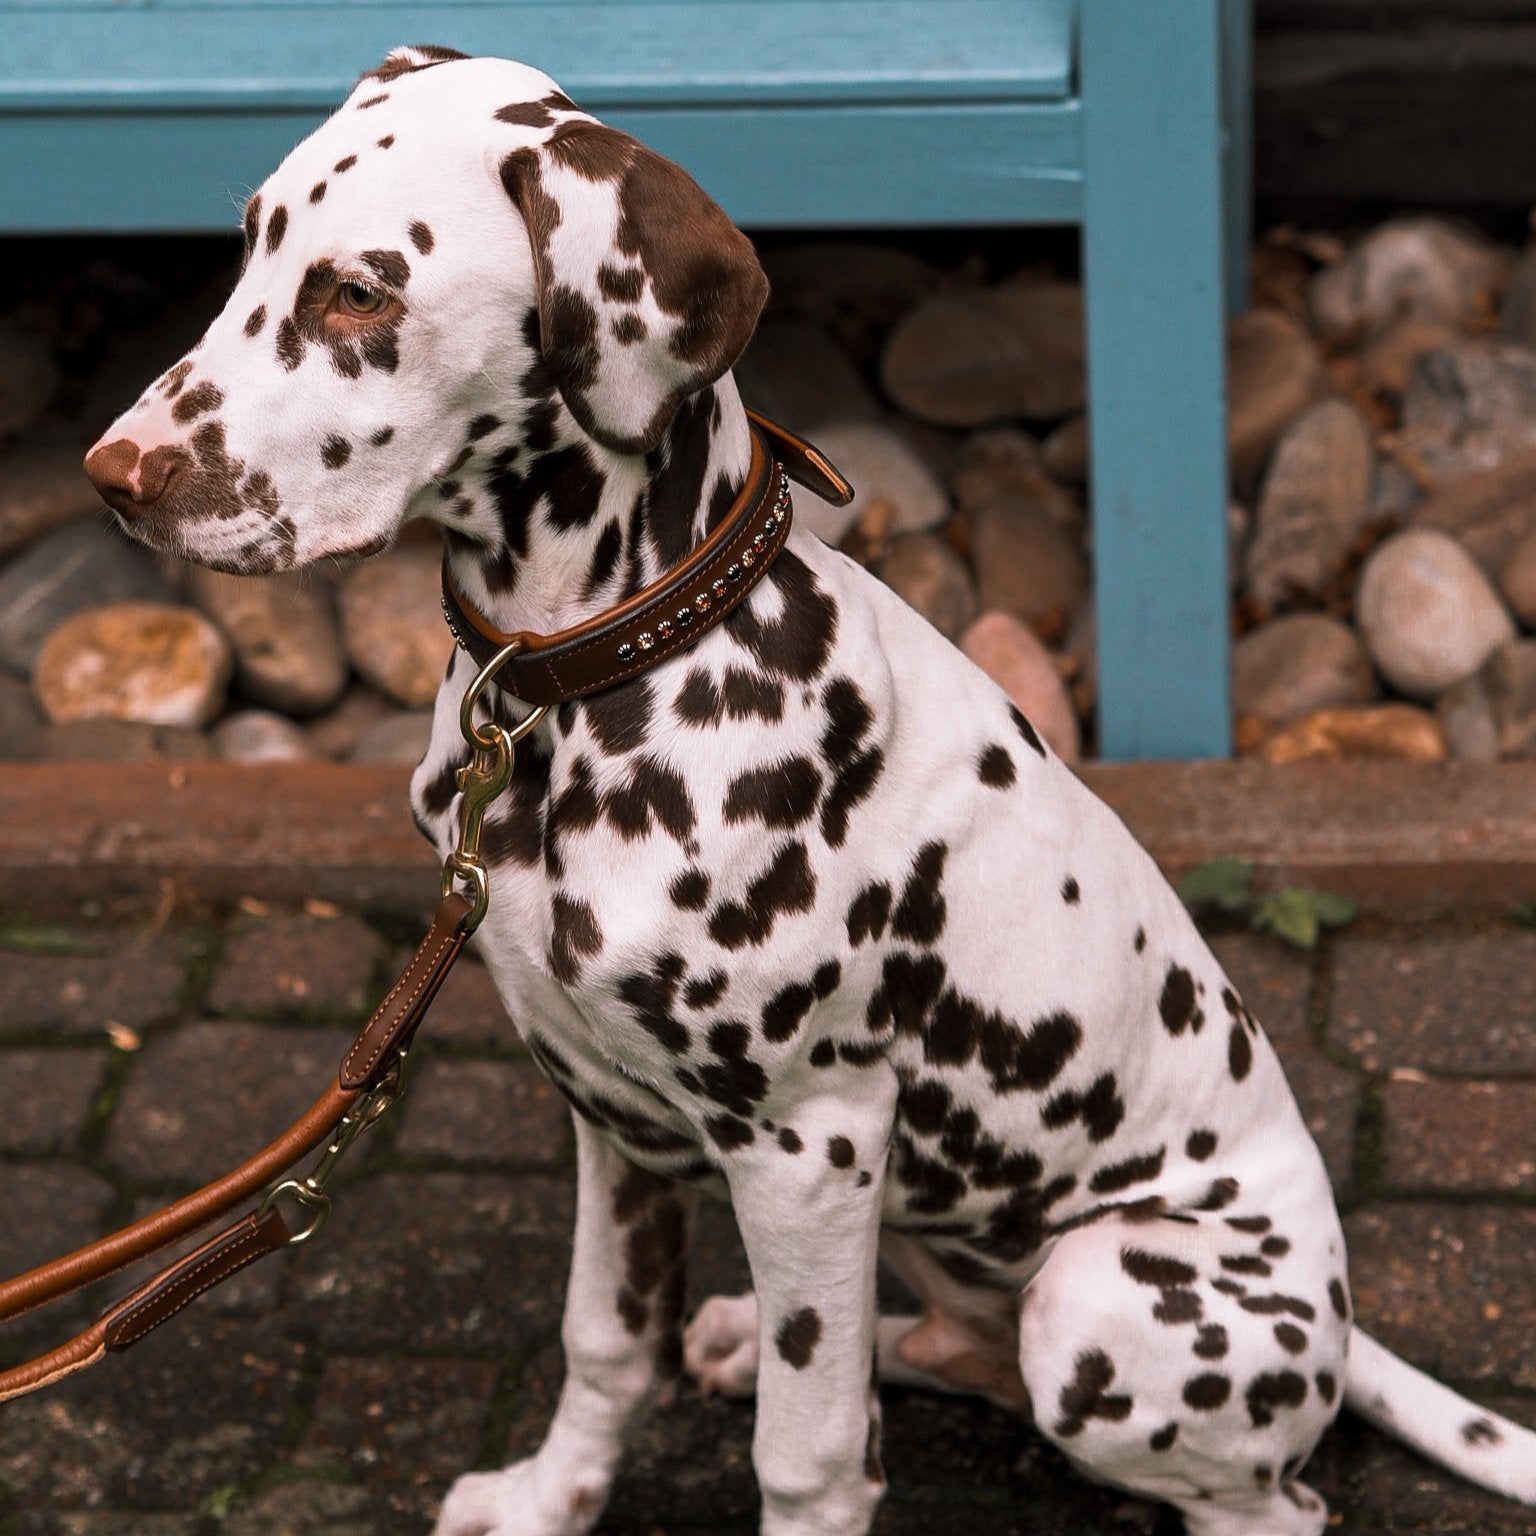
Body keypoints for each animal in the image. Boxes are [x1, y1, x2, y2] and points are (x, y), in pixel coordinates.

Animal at [87, 44, 1536, 1536]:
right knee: (953, 1351)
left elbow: (811, 1451)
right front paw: (552, 1498)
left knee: (1248, 1492)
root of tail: (1344, 1324)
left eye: (359, 292)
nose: (111, 476)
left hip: (1100, 1300)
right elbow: (607, 1341)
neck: (603, 685)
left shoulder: (805, 1149)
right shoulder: (612, 1117)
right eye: (252, 244)